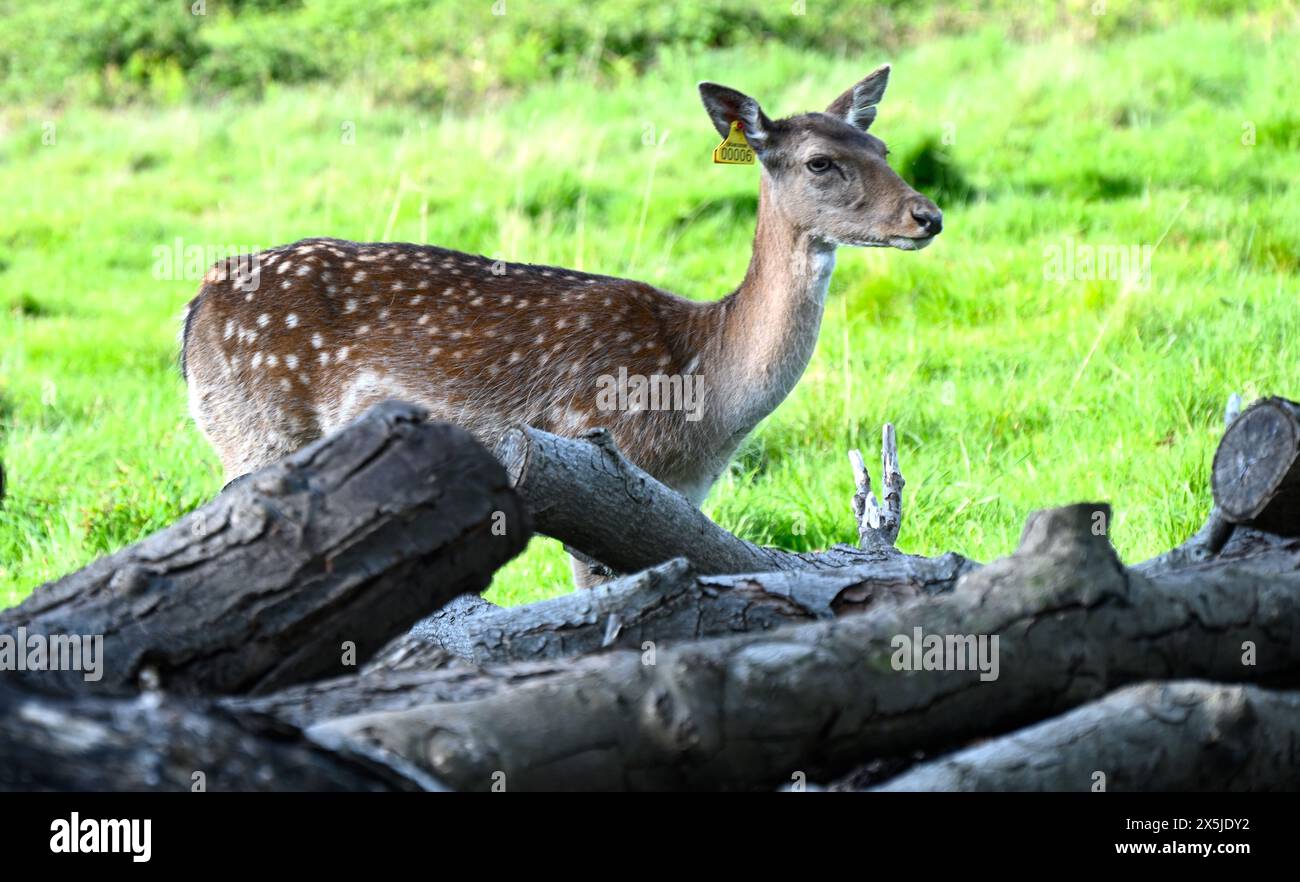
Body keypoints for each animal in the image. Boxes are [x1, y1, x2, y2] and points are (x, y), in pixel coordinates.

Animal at [181, 65, 942, 585]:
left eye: (882, 145)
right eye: (821, 161)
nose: (927, 215)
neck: (704, 396)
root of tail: (191, 313)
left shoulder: (675, 499)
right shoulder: (599, 466)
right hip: (259, 429)